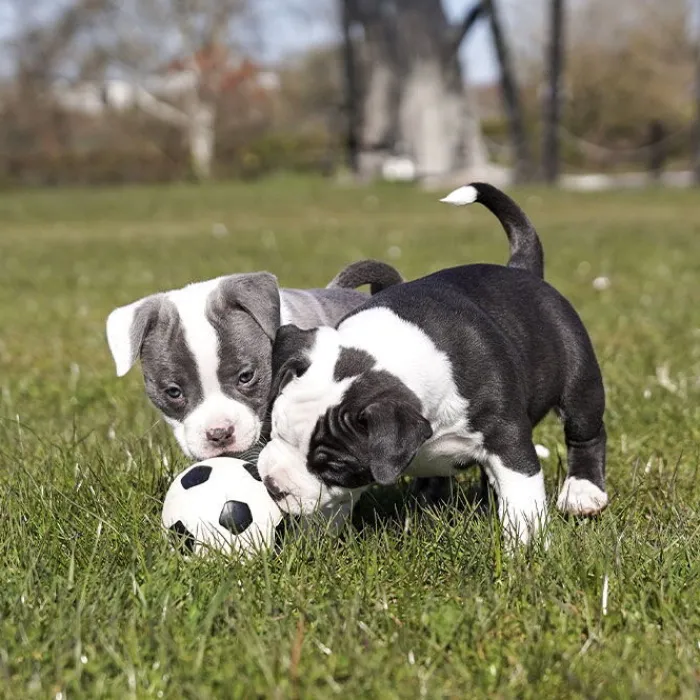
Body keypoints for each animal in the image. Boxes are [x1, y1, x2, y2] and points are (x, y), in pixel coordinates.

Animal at [258, 183, 608, 544]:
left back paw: (583, 492)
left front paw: (526, 545)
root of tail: (520, 268)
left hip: (579, 378)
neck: (390, 352)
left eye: (332, 466)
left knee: (586, 432)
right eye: (276, 430)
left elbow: (522, 497)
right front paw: (314, 541)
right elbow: (332, 505)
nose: (272, 486)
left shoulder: (507, 438)